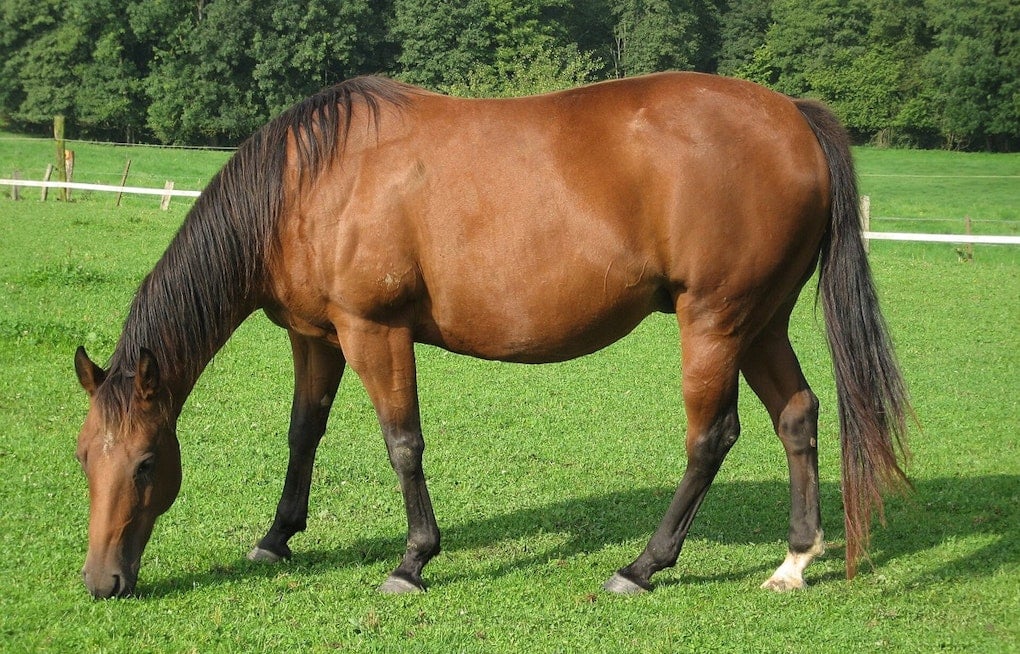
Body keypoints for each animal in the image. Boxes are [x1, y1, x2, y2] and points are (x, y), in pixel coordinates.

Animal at [73, 72, 910, 599]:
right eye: (85, 457)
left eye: (146, 464)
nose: (102, 582)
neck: (310, 182)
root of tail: (791, 115)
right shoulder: (316, 336)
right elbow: (303, 432)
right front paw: (277, 538)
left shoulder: (373, 332)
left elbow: (402, 444)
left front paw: (413, 561)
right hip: (759, 321)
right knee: (797, 416)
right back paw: (794, 560)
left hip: (714, 322)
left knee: (713, 437)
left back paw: (643, 566)